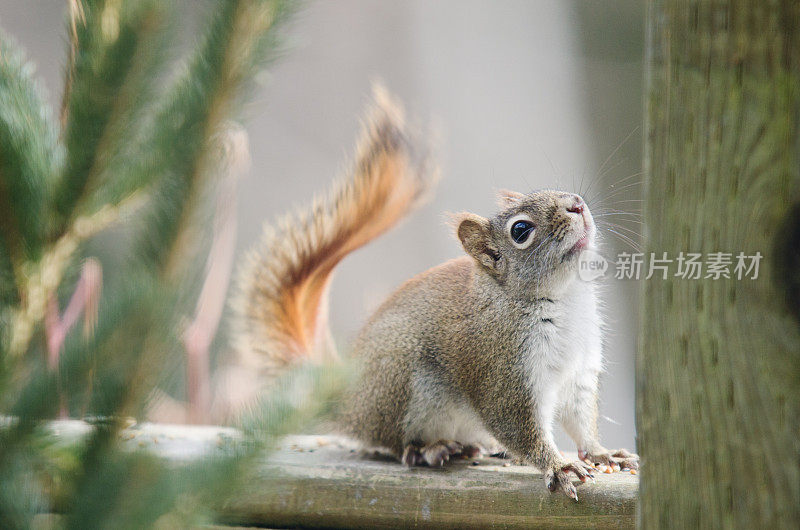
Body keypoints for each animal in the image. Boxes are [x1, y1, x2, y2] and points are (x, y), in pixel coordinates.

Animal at [231, 84, 636, 498]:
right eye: (521, 231)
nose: (577, 204)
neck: (565, 298)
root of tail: (347, 398)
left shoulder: (579, 370)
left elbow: (580, 420)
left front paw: (602, 454)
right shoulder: (503, 371)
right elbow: (518, 426)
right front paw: (558, 465)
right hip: (401, 384)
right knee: (391, 441)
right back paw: (429, 449)